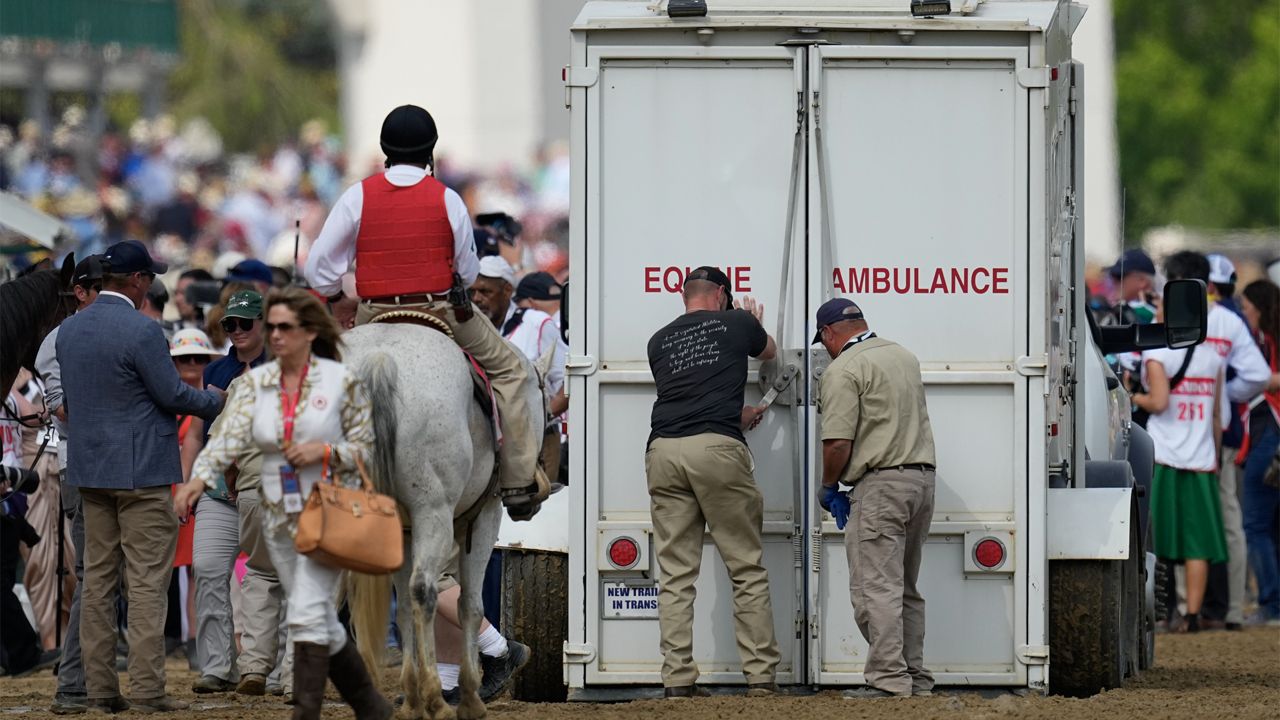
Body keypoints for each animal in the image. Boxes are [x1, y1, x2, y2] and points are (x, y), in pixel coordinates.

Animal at [343, 320, 542, 717]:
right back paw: (438, 696)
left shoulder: (405, 530)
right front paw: (469, 696)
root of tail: (380, 359)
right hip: (434, 512)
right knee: (426, 590)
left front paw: (411, 697)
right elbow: (469, 603)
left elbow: (404, 605)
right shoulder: (484, 515)